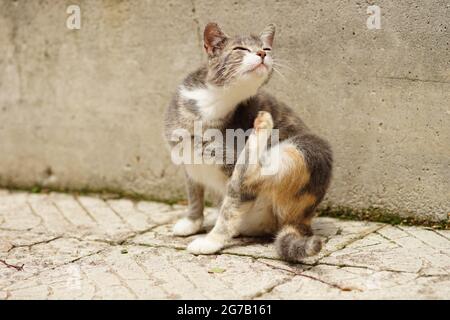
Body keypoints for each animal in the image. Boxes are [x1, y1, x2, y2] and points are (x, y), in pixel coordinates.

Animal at [163, 23, 332, 262]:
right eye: (240, 48)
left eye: (266, 48)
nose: (262, 53)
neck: (215, 103)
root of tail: (301, 221)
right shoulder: (188, 166)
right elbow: (194, 194)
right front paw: (191, 222)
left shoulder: (230, 163)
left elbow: (230, 208)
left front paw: (210, 242)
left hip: (309, 148)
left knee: (245, 178)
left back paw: (263, 125)